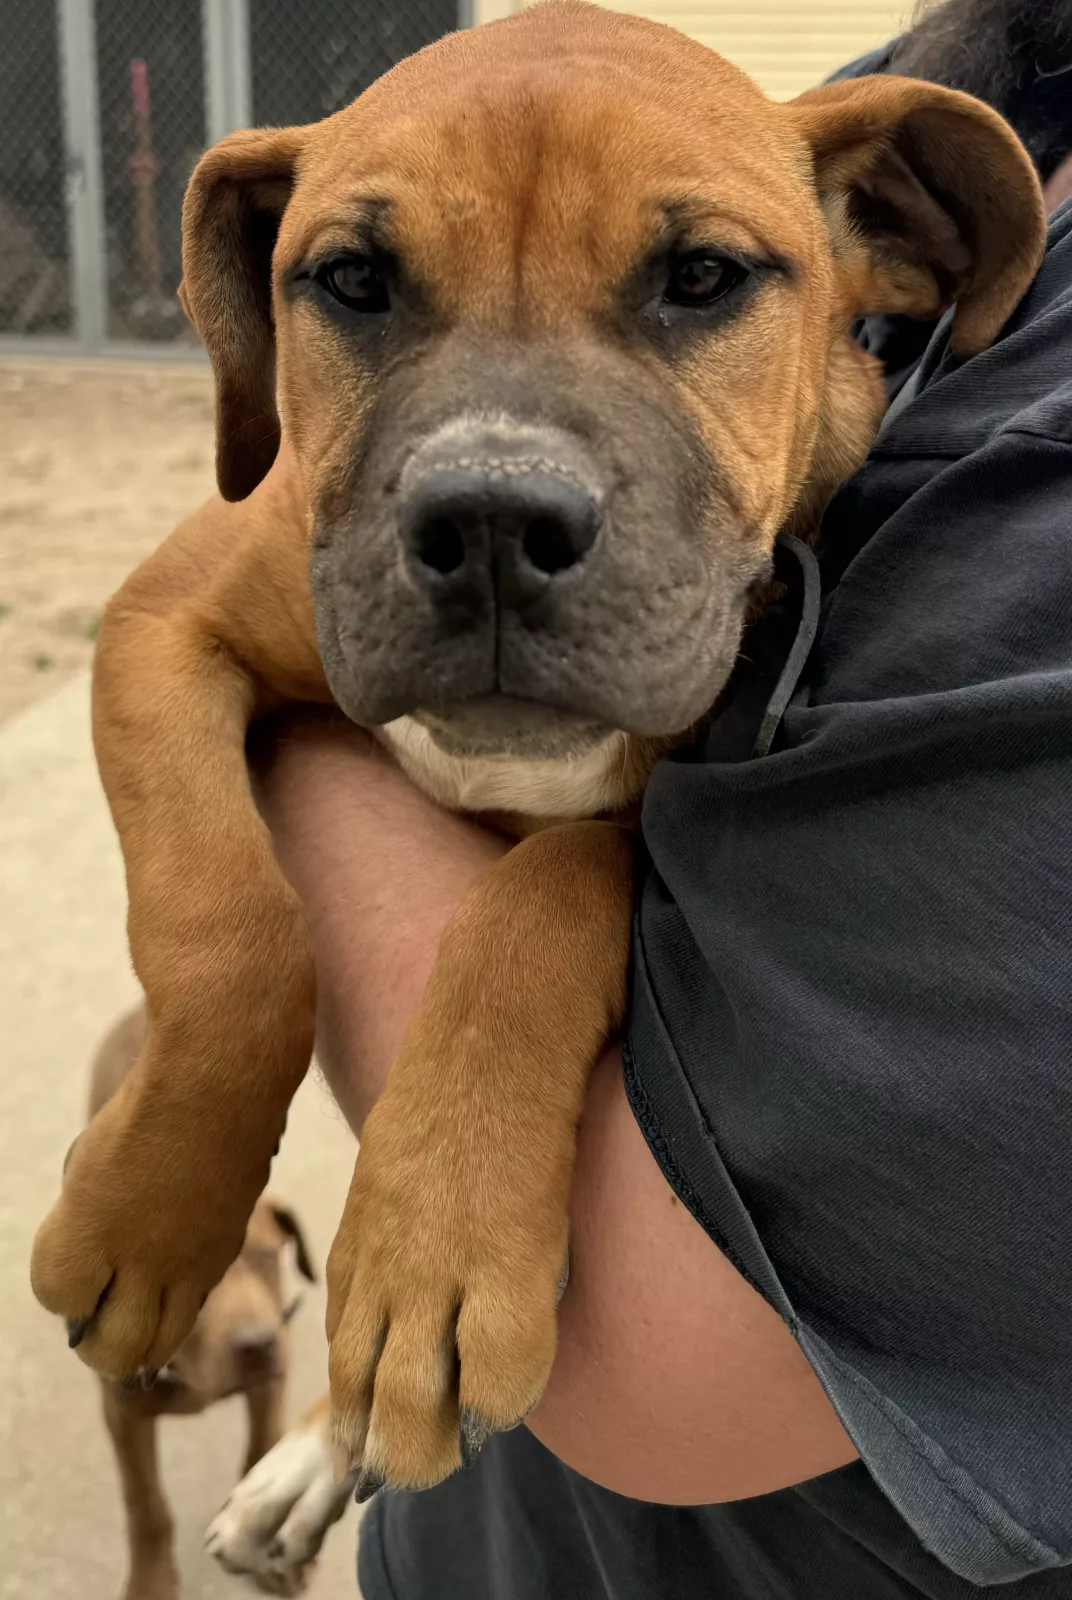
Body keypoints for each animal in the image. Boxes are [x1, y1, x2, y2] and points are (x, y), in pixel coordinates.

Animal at [89, 1006, 316, 1600]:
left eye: (268, 1258)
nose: (258, 1344)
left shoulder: (273, 1373)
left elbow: (263, 1441)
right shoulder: (122, 1414)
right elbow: (146, 1504)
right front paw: (151, 1580)